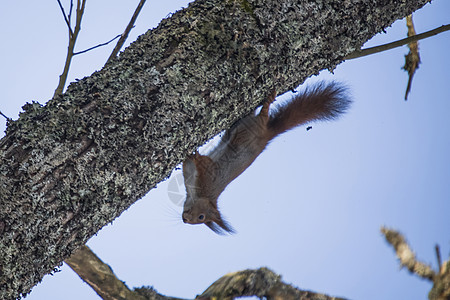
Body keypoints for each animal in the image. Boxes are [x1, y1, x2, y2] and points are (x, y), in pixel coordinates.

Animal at [181, 81, 350, 234]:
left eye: (201, 217)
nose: (185, 220)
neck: (200, 194)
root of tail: (267, 135)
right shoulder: (188, 173)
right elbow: (185, 164)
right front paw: (187, 156)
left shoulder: (210, 175)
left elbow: (203, 162)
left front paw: (194, 156)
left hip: (253, 128)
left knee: (263, 114)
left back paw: (268, 101)